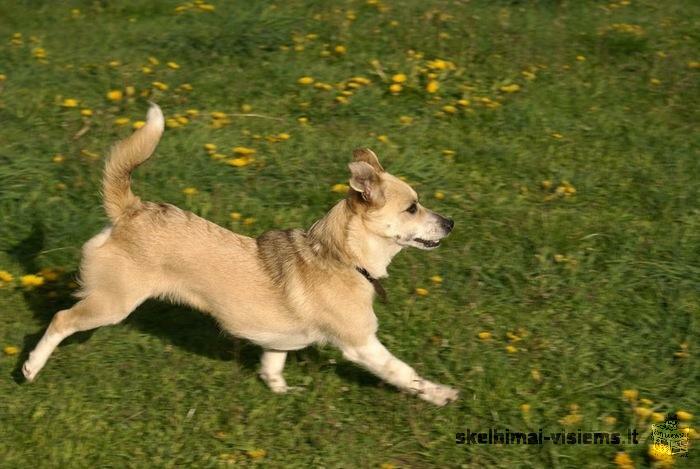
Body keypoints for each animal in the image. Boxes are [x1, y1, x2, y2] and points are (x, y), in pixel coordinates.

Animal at [21, 104, 456, 404]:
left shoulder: (279, 341)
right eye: (413, 208)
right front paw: (440, 394)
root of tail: (130, 210)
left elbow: (272, 366)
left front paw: (281, 393)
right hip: (112, 304)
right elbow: (402, 372)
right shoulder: (361, 343)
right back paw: (30, 367)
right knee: (60, 320)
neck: (342, 257)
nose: (450, 221)